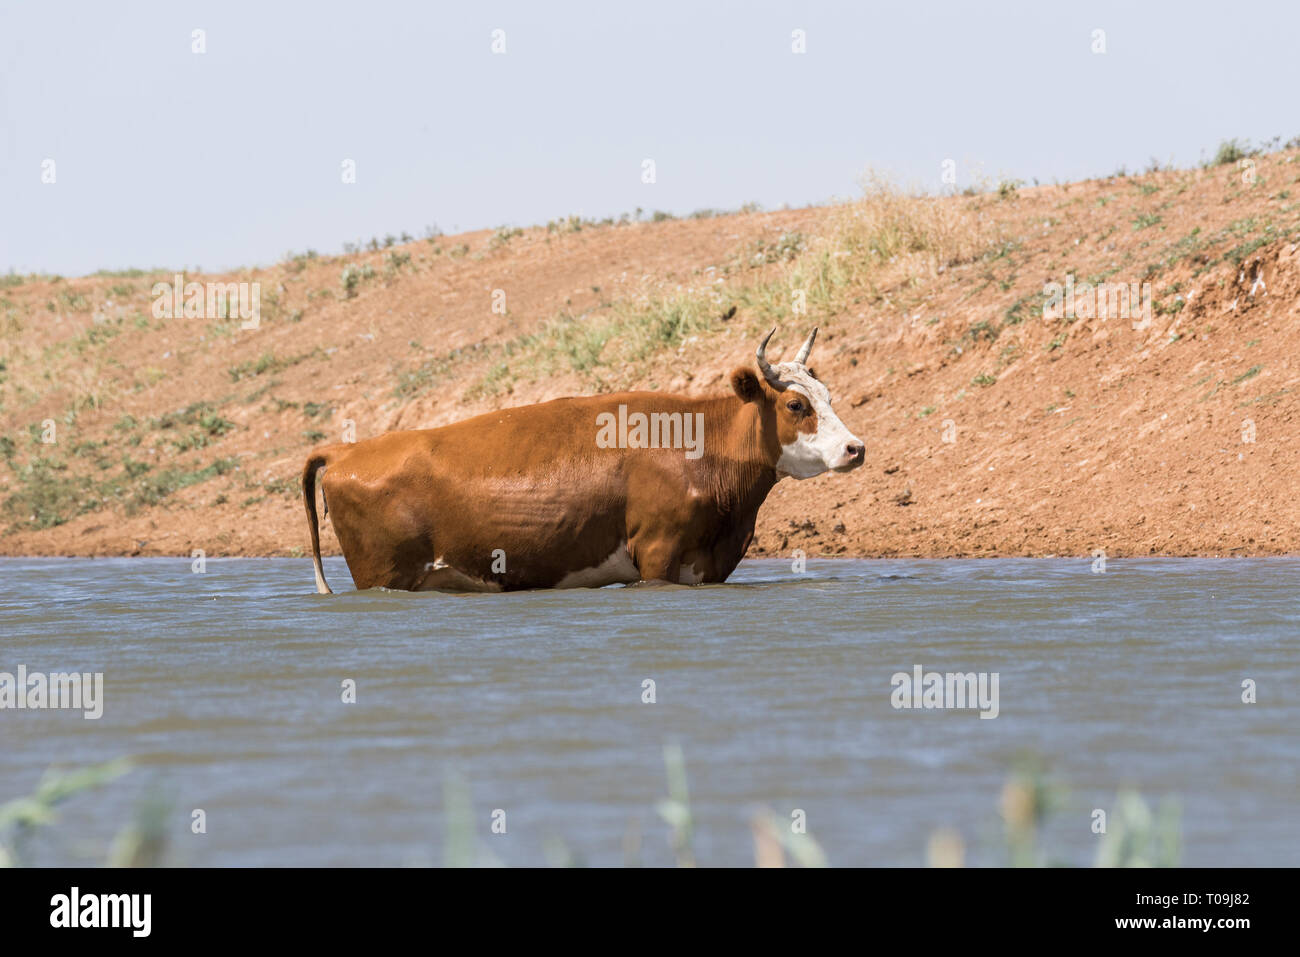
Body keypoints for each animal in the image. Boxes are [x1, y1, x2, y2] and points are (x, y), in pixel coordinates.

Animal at [301, 326, 864, 593]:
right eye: (796, 406)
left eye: (828, 395)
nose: (855, 448)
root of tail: (349, 448)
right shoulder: (657, 551)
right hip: (383, 574)